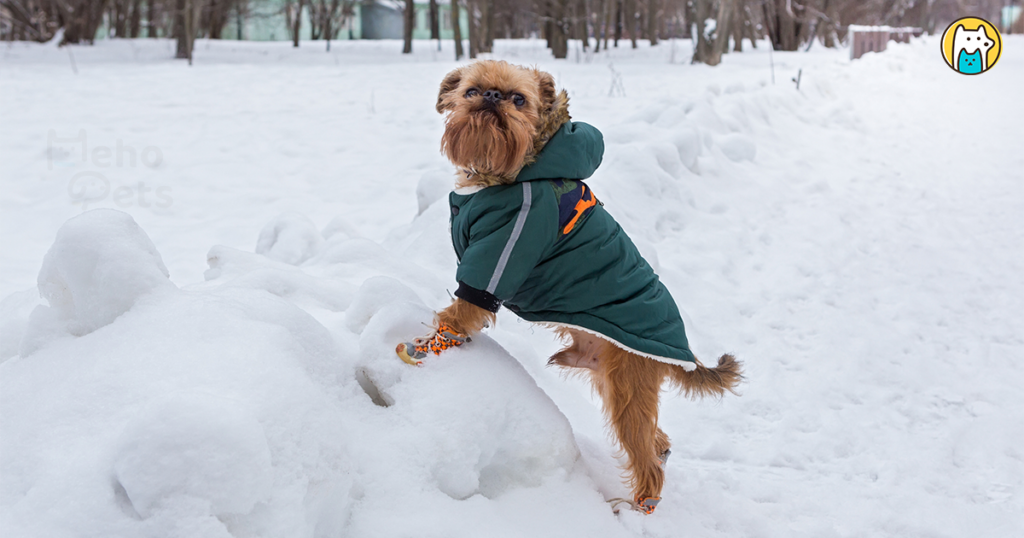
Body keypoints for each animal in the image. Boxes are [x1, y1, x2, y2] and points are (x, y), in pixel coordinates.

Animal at [399, 60, 745, 514]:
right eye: (472, 91)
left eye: (519, 100)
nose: (491, 98)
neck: (506, 172)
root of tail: (682, 352)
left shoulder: (503, 249)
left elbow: (461, 312)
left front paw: (425, 348)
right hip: (613, 377)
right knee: (658, 440)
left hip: (627, 387)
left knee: (646, 457)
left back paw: (638, 507)